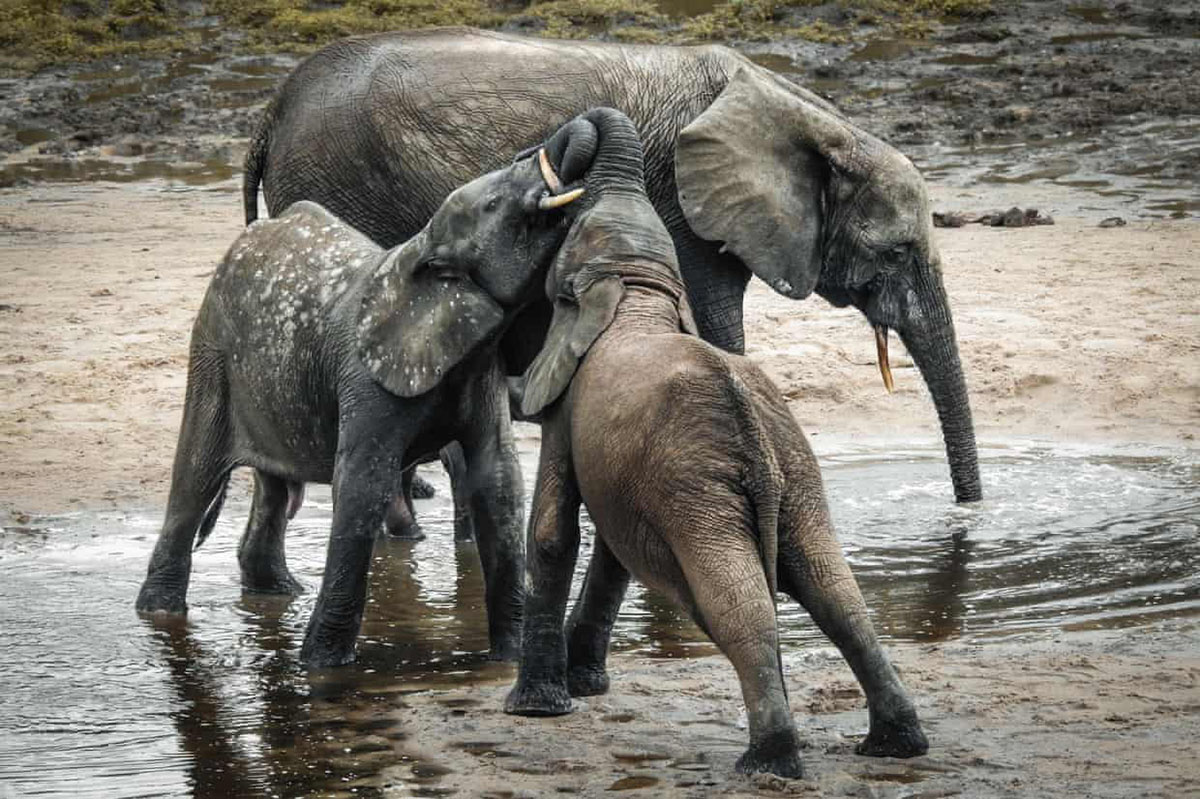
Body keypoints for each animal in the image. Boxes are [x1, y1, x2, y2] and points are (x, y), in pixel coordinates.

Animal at [246, 31, 984, 506]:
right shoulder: (683, 205)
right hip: (341, 181)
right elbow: (718, 329)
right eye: (897, 251)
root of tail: (271, 112)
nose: (966, 510)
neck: (809, 121)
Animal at [496, 109, 926, 772]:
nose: (554, 153)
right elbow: (612, 550)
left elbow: (551, 532)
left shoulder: (566, 407)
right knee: (837, 593)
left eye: (570, 238)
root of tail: (756, 442)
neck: (637, 289)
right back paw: (895, 746)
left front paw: (536, 710)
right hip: (795, 477)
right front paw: (581, 689)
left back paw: (769, 763)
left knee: (739, 603)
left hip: (698, 491)